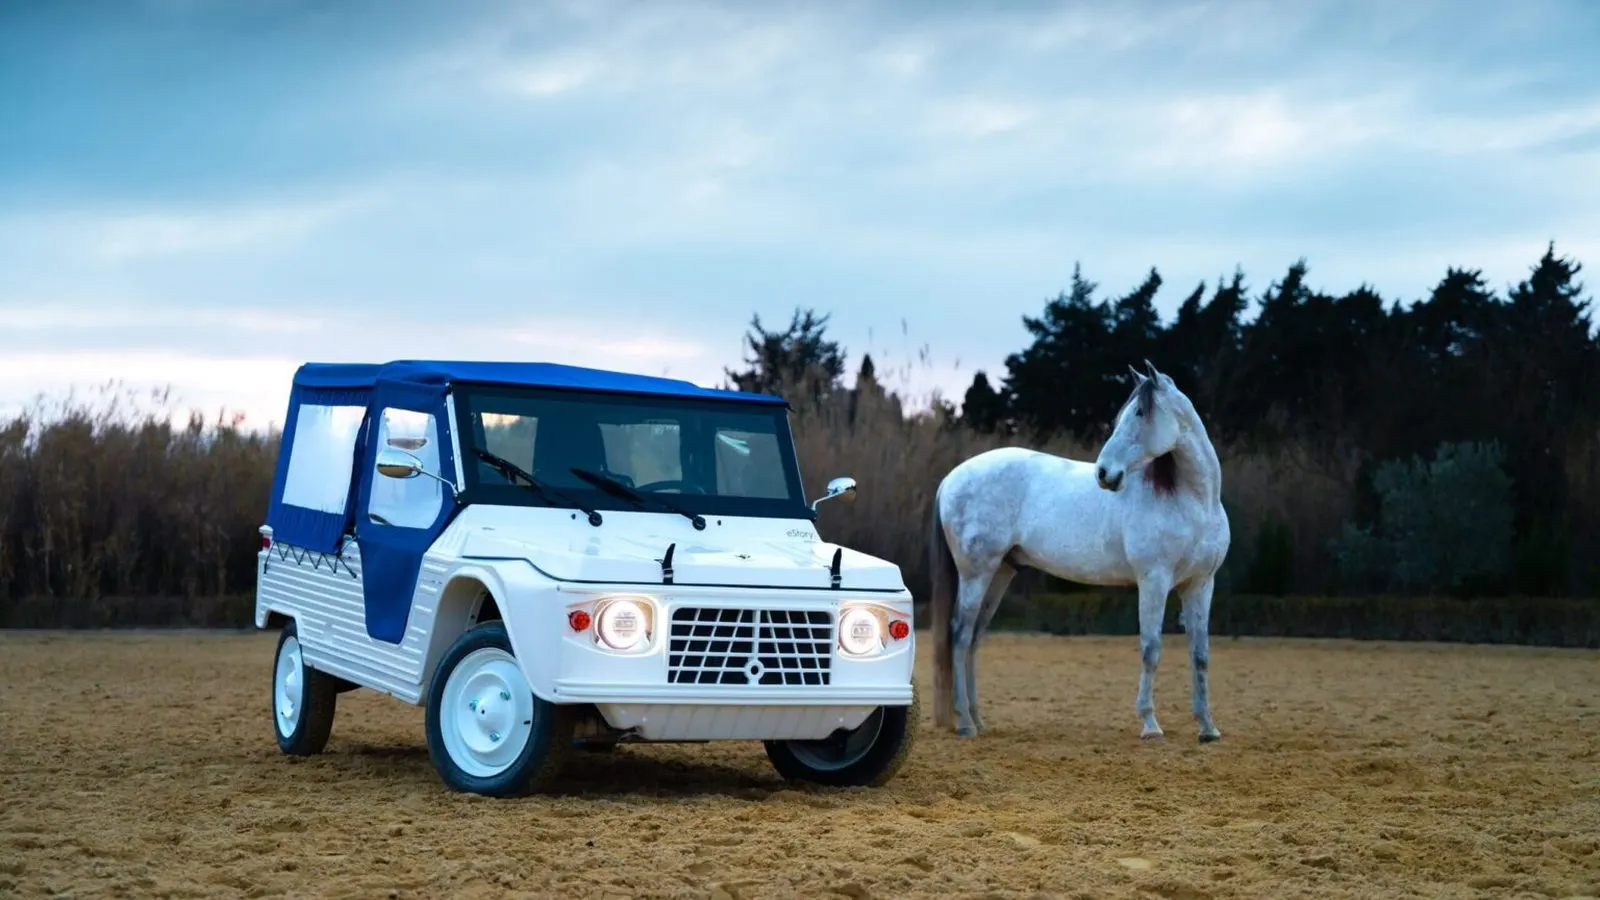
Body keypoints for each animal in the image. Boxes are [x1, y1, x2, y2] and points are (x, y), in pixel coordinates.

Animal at [927, 360, 1229, 742]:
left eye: (1140, 413)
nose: (1104, 474)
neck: (1194, 502)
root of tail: (951, 478)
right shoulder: (1154, 581)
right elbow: (1151, 649)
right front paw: (1150, 724)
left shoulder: (1201, 584)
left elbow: (1200, 654)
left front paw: (1208, 727)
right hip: (976, 574)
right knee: (960, 635)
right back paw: (965, 723)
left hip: (1000, 574)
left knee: (974, 640)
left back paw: (979, 720)